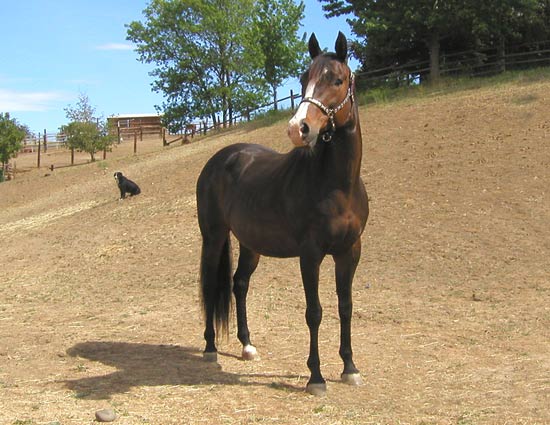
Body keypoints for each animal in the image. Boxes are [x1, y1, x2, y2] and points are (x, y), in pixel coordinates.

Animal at [197, 32, 370, 394]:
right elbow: (314, 312)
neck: (337, 185)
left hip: (250, 244)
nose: (298, 128)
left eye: (337, 80)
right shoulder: (311, 254)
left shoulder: (350, 251)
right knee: (210, 285)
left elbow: (345, 307)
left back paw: (247, 346)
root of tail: (222, 157)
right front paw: (316, 377)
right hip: (213, 237)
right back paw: (209, 349)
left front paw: (350, 368)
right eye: (303, 79)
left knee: (239, 284)